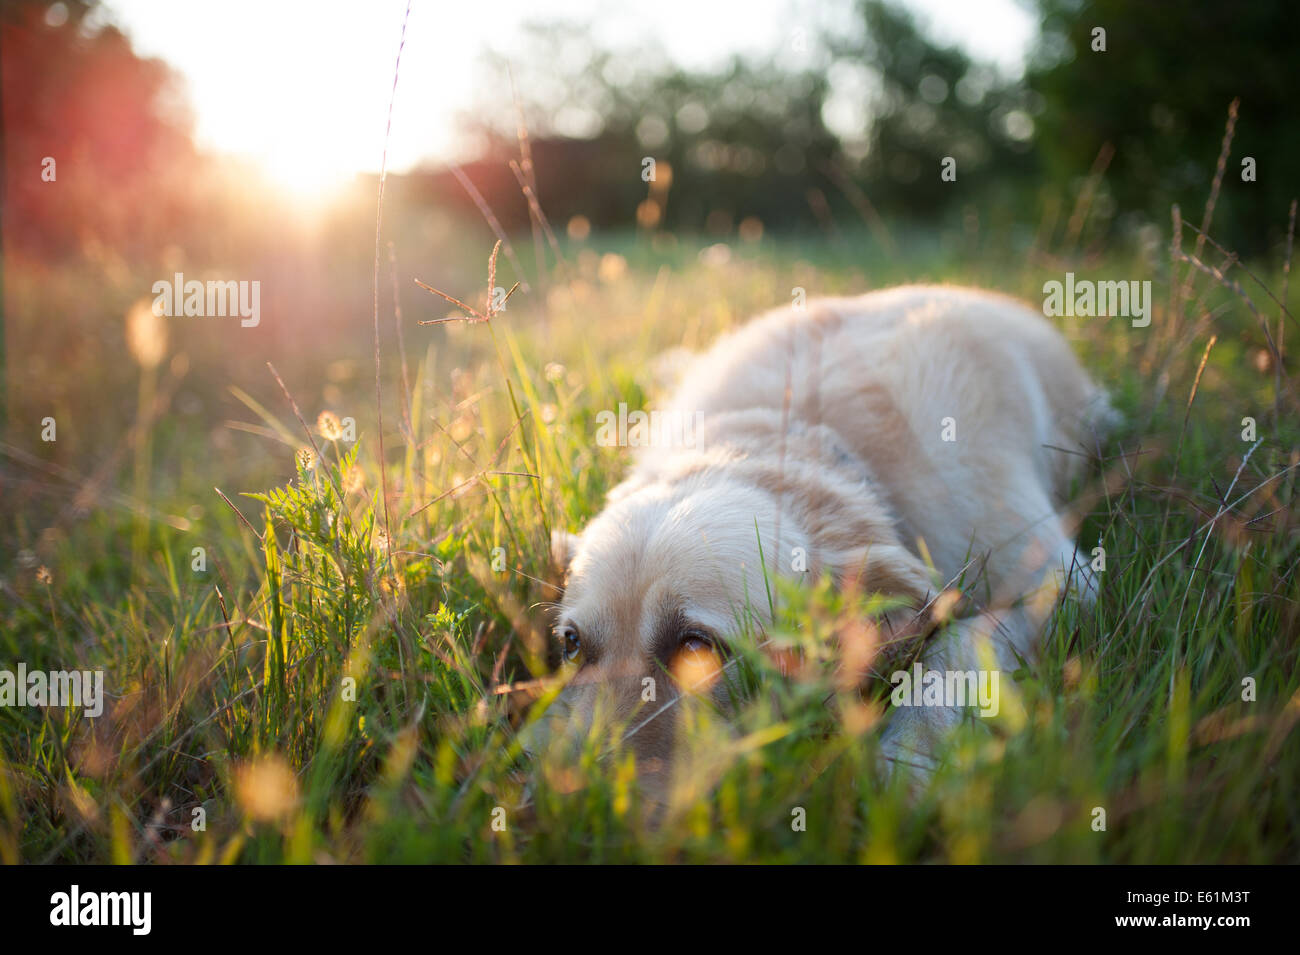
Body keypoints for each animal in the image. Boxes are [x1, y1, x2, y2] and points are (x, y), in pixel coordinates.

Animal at [533, 285, 1112, 805]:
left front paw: (908, 753)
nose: (561, 813)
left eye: (697, 648)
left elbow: (957, 643)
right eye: (571, 644)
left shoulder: (1060, 580)